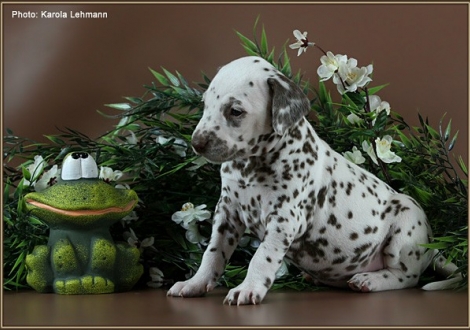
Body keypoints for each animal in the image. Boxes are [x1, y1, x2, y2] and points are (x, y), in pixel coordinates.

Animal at [166, 55, 462, 306]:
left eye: (235, 111)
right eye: (206, 104)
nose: (197, 143)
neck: (250, 166)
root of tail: (432, 246)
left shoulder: (284, 219)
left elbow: (261, 257)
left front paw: (248, 288)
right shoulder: (227, 213)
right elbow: (212, 253)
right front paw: (195, 283)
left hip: (406, 223)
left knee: (405, 277)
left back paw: (370, 280)